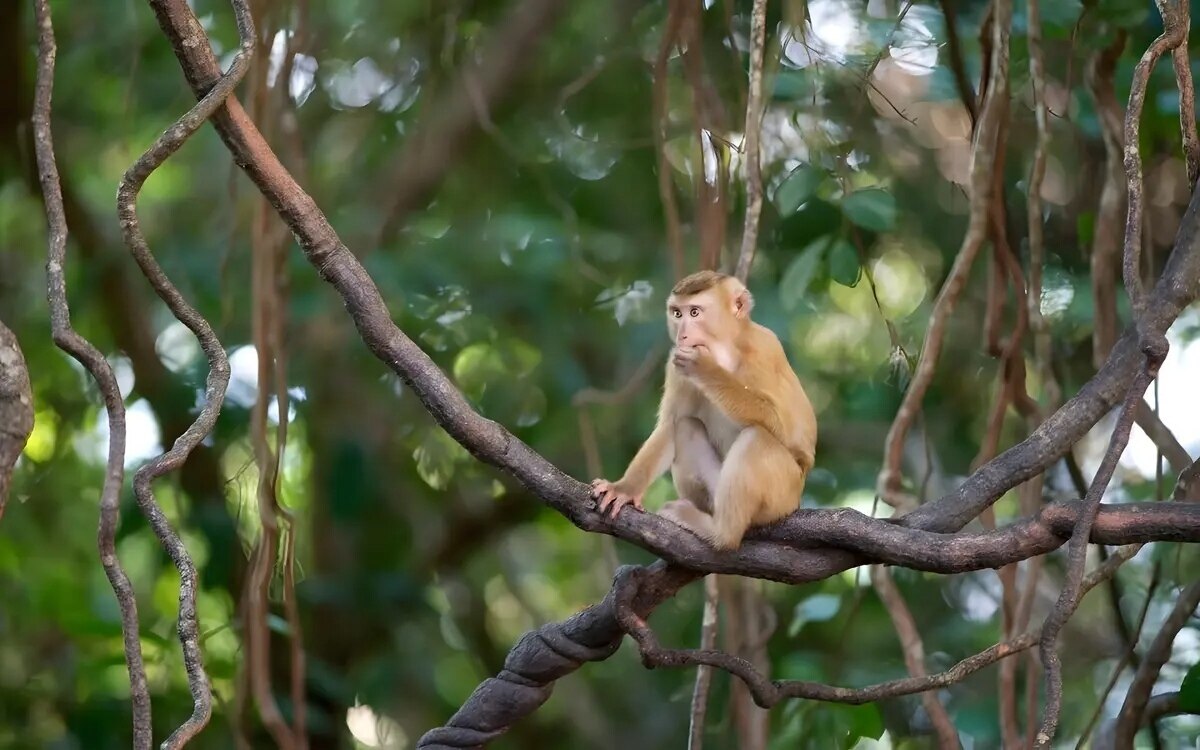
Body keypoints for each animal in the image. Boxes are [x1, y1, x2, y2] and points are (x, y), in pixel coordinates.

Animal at [590, 270, 816, 549]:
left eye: (695, 312)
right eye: (677, 313)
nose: (683, 335)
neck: (726, 354)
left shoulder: (766, 348)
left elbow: (786, 429)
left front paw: (705, 368)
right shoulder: (674, 363)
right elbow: (671, 423)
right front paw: (624, 489)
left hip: (783, 496)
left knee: (757, 437)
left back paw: (721, 534)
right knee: (686, 426)